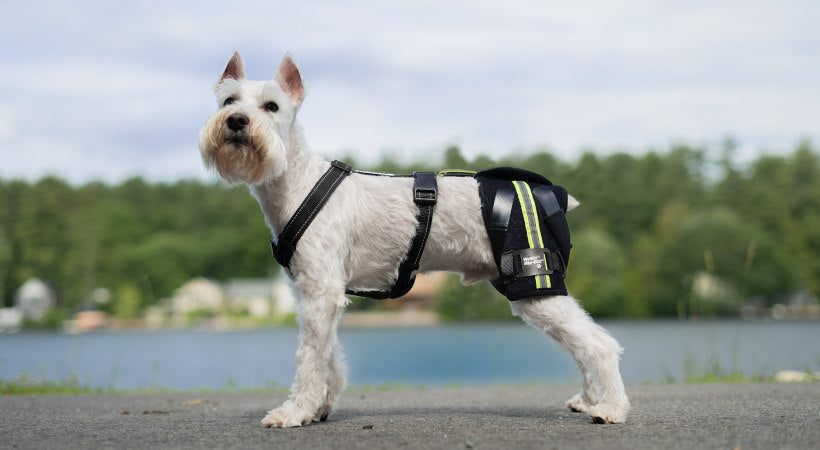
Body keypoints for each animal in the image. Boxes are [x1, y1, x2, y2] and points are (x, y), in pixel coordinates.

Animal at [197, 51, 628, 428]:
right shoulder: (316, 294)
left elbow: (310, 359)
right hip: (535, 292)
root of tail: (552, 195)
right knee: (581, 344)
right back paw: (588, 400)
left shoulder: (322, 292)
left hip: (533, 283)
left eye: (271, 106)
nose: (236, 120)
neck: (300, 182)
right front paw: (320, 406)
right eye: (228, 99)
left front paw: (294, 413)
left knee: (599, 344)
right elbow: (327, 355)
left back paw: (611, 409)